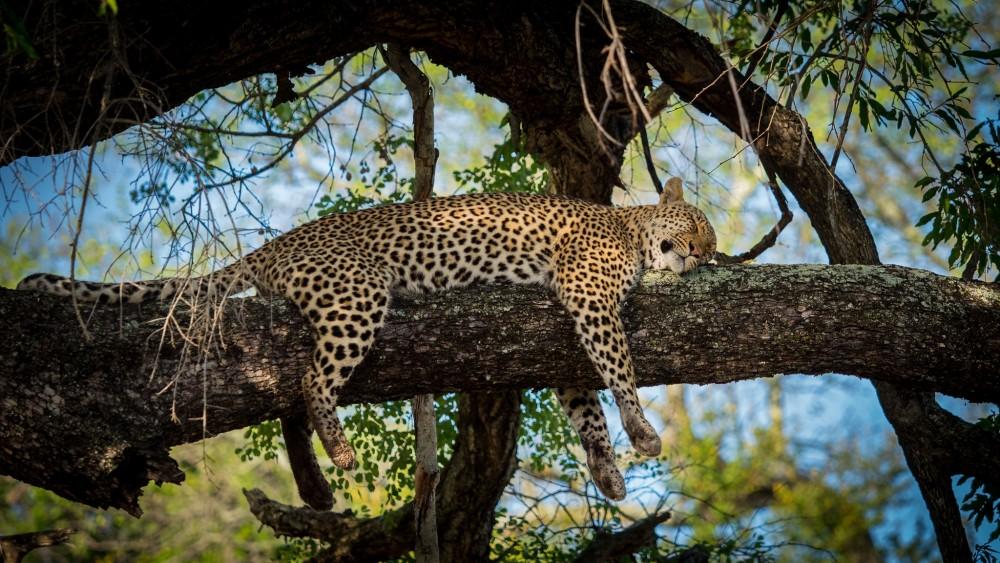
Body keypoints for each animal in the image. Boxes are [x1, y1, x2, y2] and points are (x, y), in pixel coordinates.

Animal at [17, 177, 720, 502]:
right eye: (699, 224)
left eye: (711, 243)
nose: (707, 257)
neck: (630, 227)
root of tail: (276, 245)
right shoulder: (588, 293)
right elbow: (619, 368)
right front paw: (643, 431)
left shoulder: (565, 333)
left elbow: (585, 402)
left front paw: (607, 469)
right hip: (358, 295)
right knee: (310, 378)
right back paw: (340, 449)